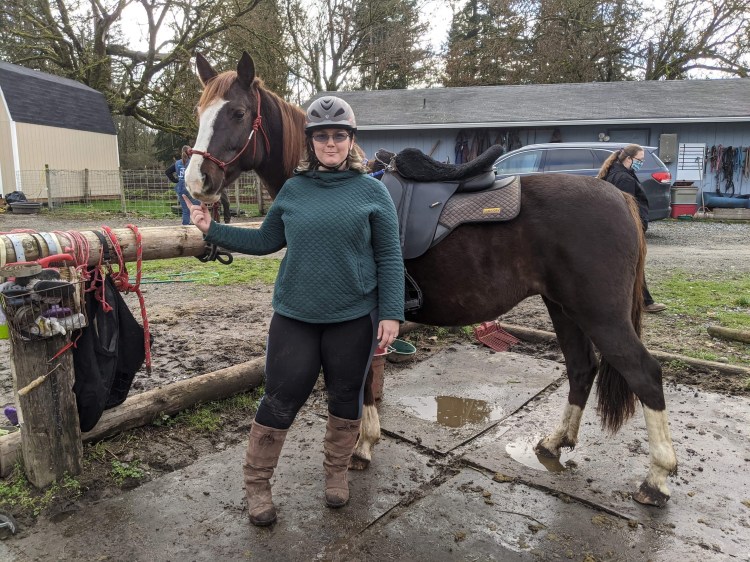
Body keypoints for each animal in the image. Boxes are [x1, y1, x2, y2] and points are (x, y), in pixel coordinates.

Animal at [185, 51, 677, 507]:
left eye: (237, 113)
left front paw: (362, 446)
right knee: (580, 369)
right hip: (564, 308)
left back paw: (656, 479)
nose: (196, 181)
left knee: (645, 375)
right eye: (199, 111)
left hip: (600, 313)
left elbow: (362, 381)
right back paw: (556, 443)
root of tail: (615, 195)